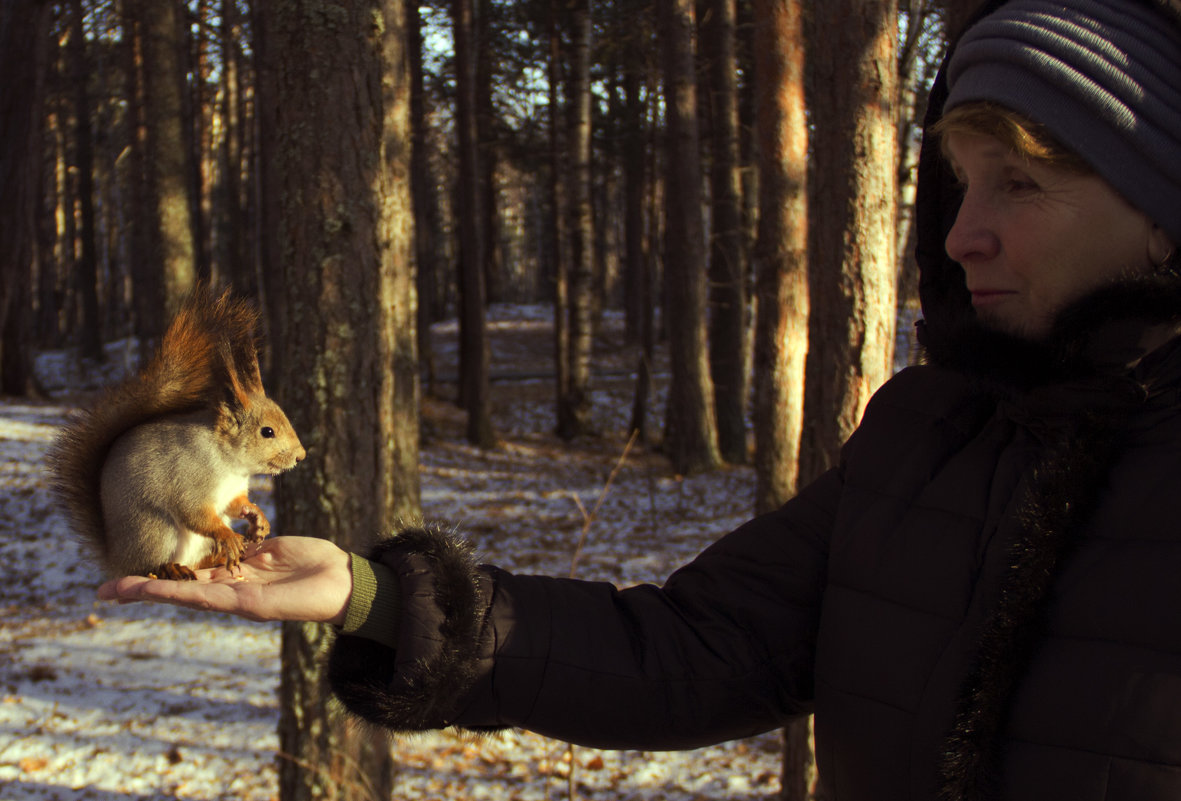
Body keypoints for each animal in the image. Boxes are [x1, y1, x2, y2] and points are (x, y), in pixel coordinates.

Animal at [47, 285, 304, 581]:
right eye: (267, 431)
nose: (301, 456)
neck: (230, 463)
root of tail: (117, 562)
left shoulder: (232, 492)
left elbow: (236, 504)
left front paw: (257, 517)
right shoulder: (188, 479)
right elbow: (196, 514)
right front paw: (228, 536)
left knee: (196, 562)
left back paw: (214, 559)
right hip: (154, 530)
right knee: (148, 566)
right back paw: (171, 568)